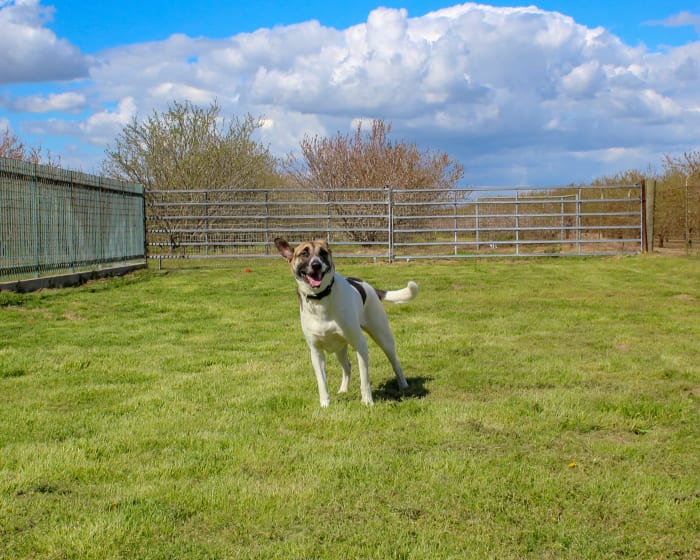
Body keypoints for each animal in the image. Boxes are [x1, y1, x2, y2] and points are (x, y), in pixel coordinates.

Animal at [272, 237, 416, 406]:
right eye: (304, 254)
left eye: (323, 253)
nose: (316, 265)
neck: (321, 299)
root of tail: (370, 287)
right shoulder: (316, 351)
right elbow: (322, 382)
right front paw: (325, 404)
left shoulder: (360, 344)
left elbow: (364, 379)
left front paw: (367, 402)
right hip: (339, 349)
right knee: (347, 366)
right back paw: (343, 389)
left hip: (383, 337)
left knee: (395, 362)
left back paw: (403, 385)